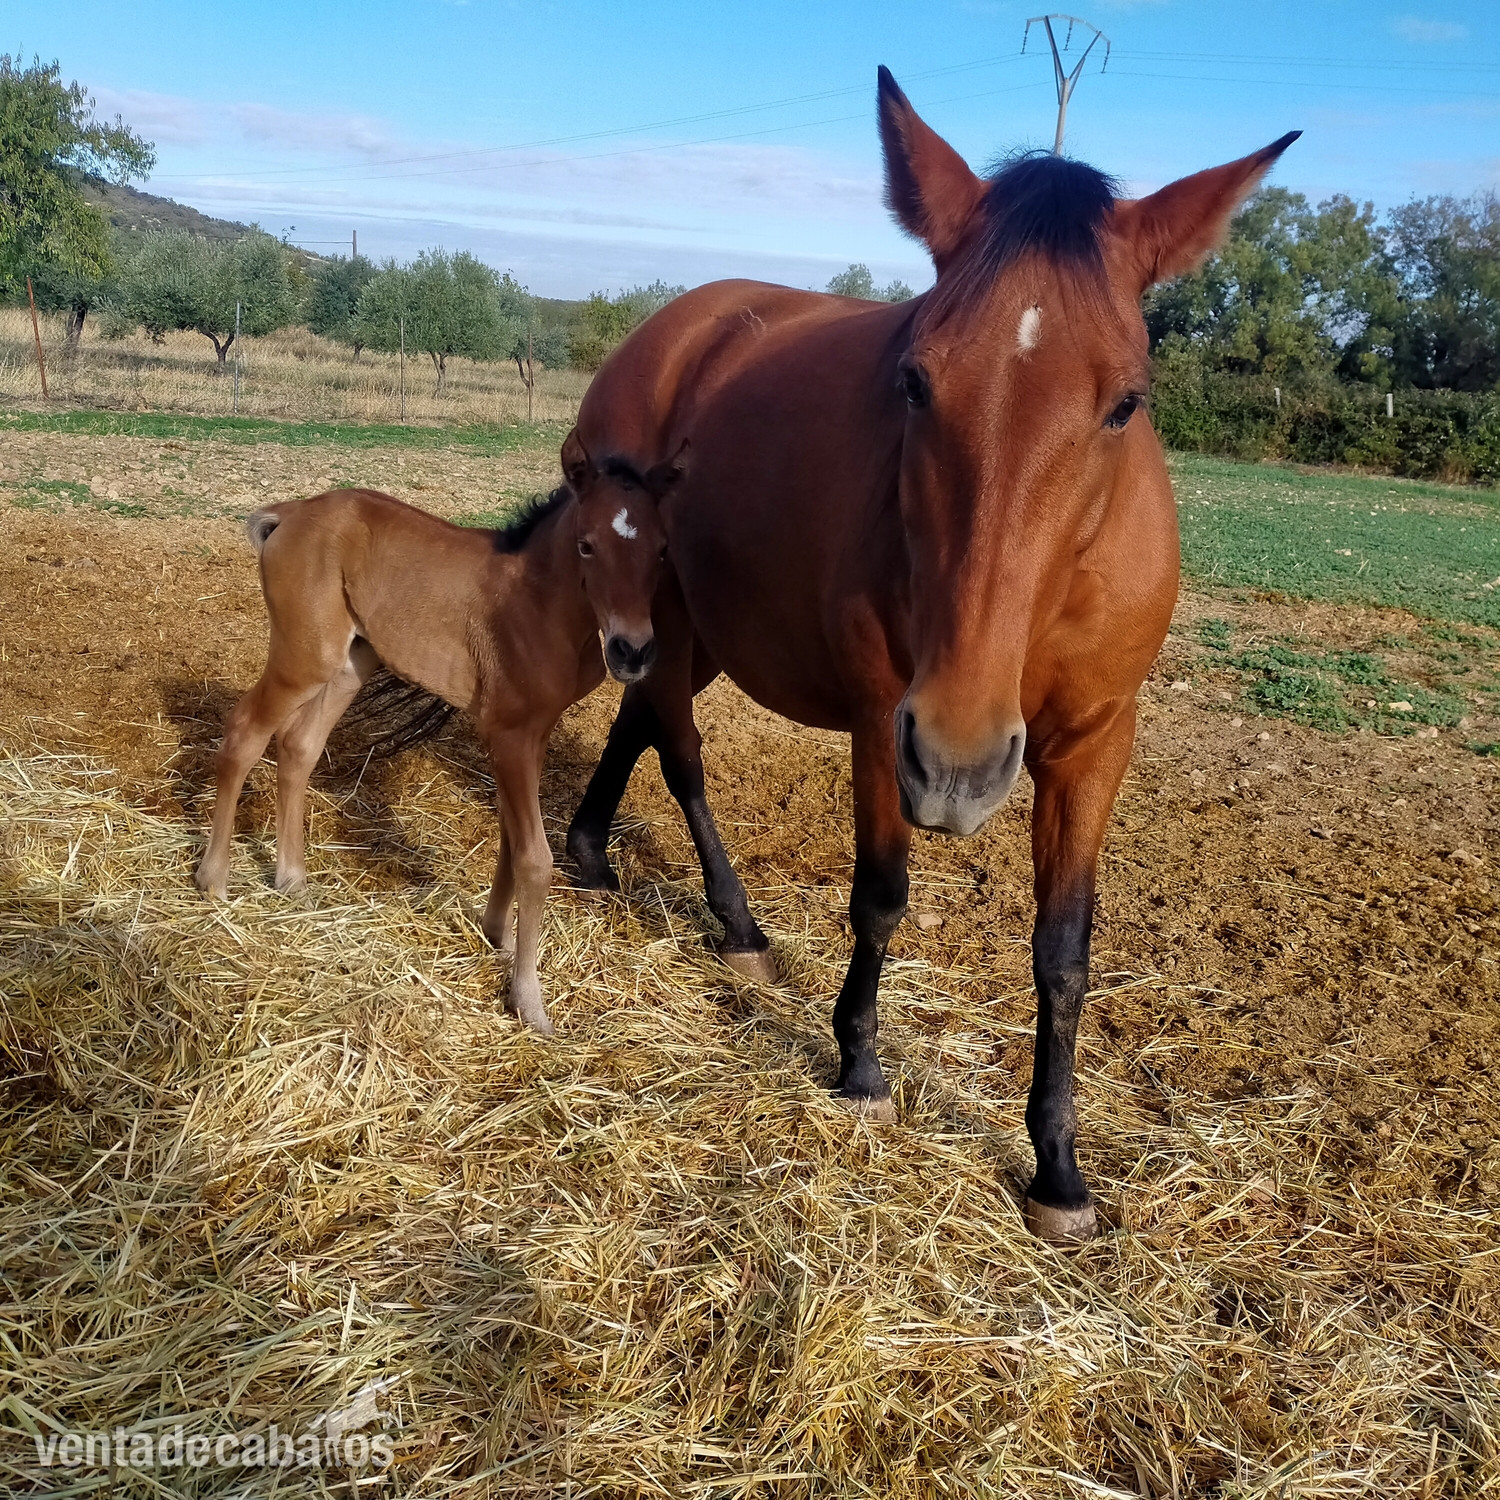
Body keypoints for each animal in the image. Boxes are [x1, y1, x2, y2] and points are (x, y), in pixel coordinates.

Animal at [194, 432, 684, 1033]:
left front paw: (496, 936)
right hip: (304, 658)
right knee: (245, 733)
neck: (538, 603)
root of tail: (289, 513)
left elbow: (511, 839)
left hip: (351, 662)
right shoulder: (509, 734)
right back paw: (214, 878)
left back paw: (292, 880)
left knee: (298, 747)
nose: (632, 651)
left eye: (661, 549)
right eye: (587, 545)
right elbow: (535, 858)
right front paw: (529, 1000)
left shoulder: (533, 734)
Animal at [563, 68, 1298, 1241]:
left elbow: (1064, 951)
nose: (958, 762)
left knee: (644, 723)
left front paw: (1058, 1169)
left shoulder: (1095, 745)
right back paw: (732, 921)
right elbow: (881, 896)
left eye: (1125, 404)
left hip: (704, 630)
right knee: (678, 750)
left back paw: (598, 852)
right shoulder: (883, 719)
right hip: (673, 621)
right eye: (915, 381)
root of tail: (672, 326)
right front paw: (861, 1065)